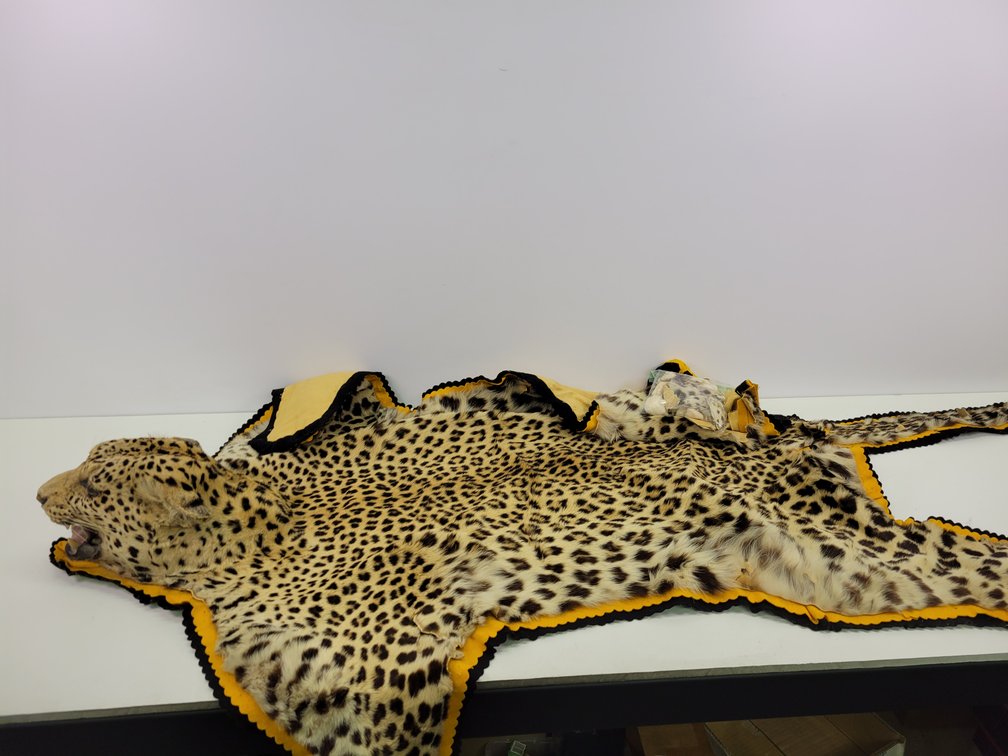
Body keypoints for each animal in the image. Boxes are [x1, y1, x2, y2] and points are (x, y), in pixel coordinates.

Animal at [38, 369, 1008, 756]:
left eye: (92, 484)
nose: (42, 492)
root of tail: (767, 443)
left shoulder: (382, 687)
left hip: (854, 554)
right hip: (836, 563)